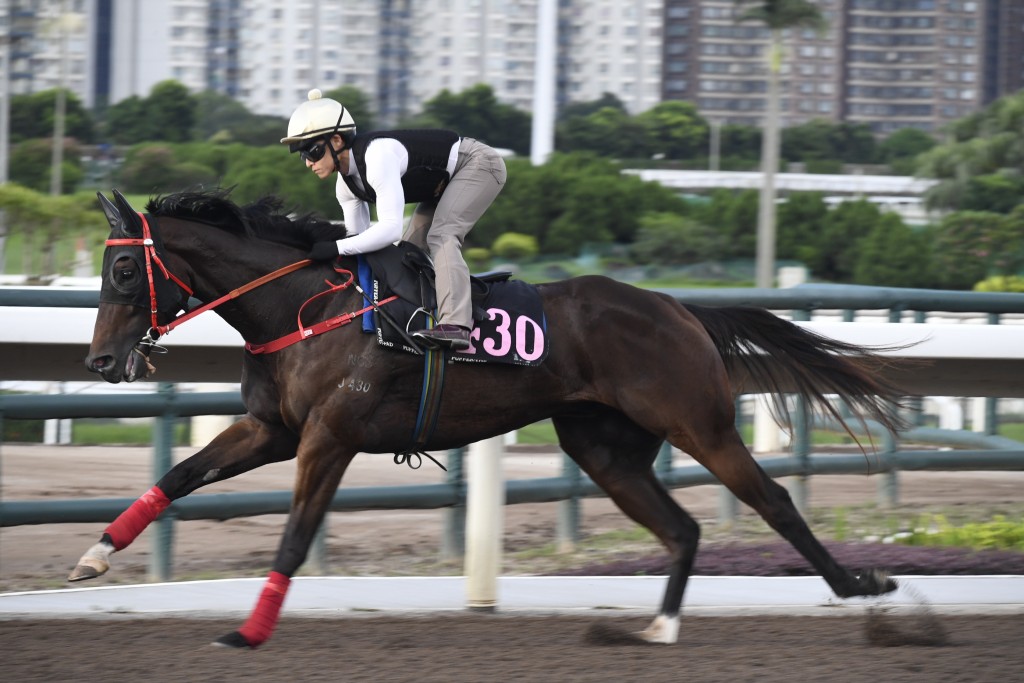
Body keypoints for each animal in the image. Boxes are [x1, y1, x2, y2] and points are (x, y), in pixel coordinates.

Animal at [72, 189, 905, 651]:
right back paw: (659, 628)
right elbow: (180, 474)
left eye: (123, 269)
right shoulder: (274, 430)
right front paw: (93, 556)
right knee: (683, 528)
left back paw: (859, 584)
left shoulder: (329, 438)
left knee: (774, 501)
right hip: (608, 451)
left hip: (699, 423)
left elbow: (295, 536)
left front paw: (247, 631)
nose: (102, 360)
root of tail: (679, 307)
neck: (303, 307)